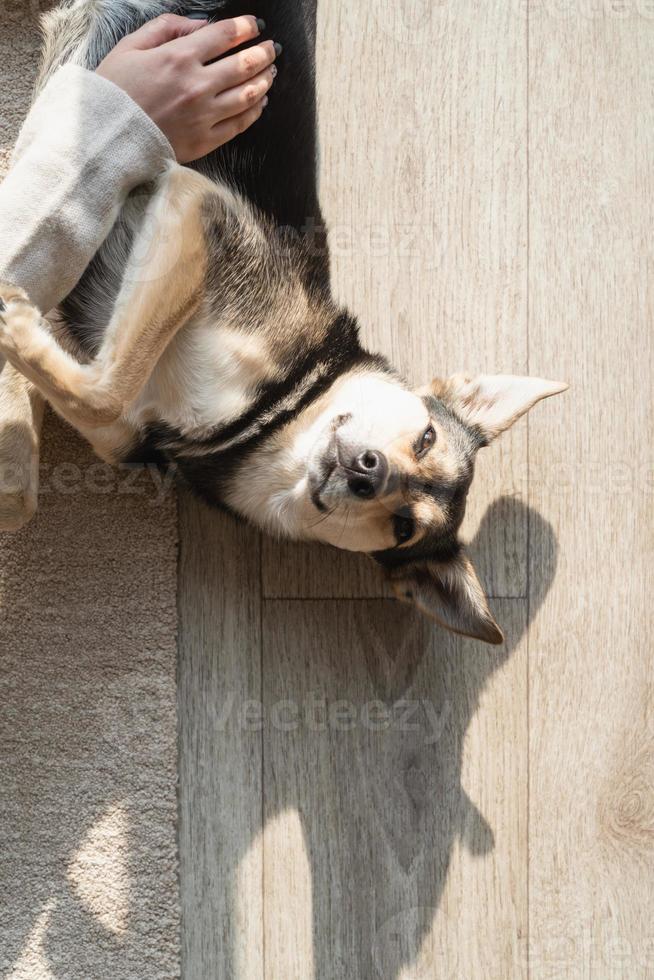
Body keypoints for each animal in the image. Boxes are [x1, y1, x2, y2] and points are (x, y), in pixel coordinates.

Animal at [0, 0, 568, 644]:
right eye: (425, 437)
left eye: (404, 526)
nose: (368, 472)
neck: (268, 413)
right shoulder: (198, 205)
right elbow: (110, 383)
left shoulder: (119, 420)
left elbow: (77, 417)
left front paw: (18, 329)